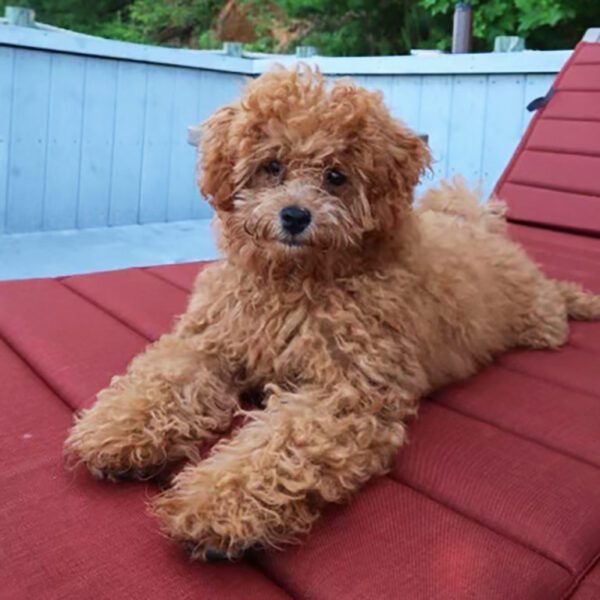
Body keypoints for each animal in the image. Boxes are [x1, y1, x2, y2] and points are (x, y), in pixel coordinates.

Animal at [65, 67, 600, 564]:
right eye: (273, 166)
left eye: (336, 176)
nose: (295, 216)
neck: (294, 282)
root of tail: (480, 226)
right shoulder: (210, 342)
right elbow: (165, 378)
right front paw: (120, 429)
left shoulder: (347, 393)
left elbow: (281, 443)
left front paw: (215, 505)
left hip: (537, 319)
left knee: (554, 303)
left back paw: (579, 300)